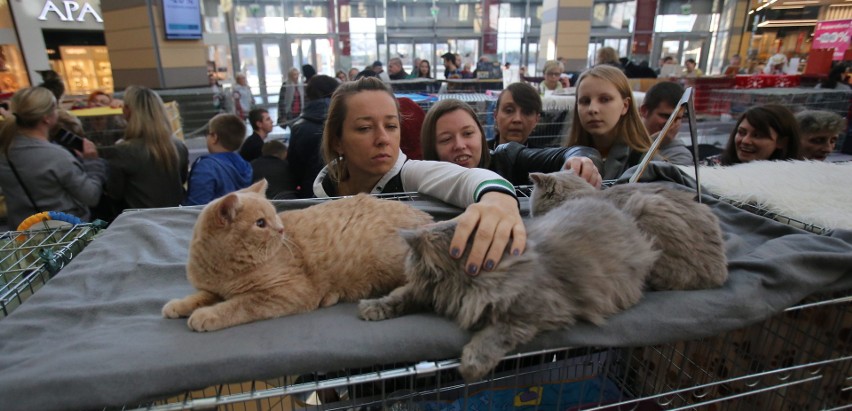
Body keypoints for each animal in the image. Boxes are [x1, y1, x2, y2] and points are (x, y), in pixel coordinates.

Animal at [358, 196, 660, 384]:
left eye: (411, 257)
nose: (406, 260)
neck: (464, 284)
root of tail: (624, 215)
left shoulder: (536, 311)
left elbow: (495, 334)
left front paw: (472, 363)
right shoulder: (427, 293)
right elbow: (399, 296)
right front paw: (373, 307)